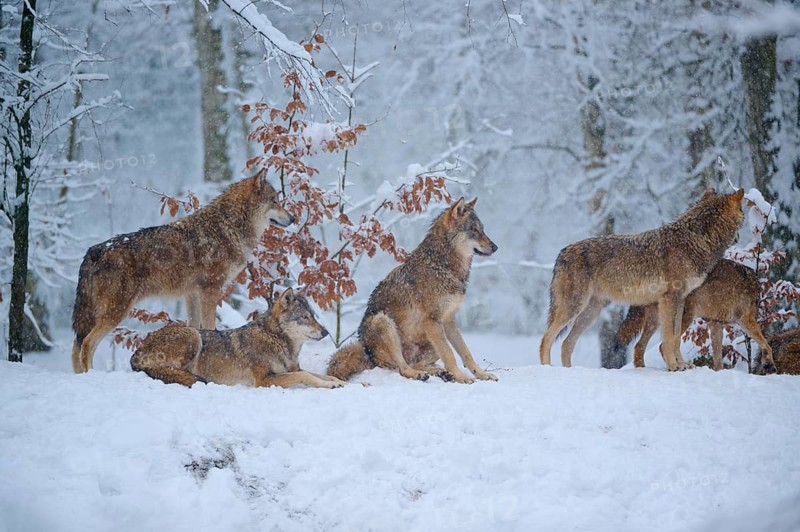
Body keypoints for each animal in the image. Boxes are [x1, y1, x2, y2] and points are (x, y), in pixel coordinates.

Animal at [72, 174, 294, 374]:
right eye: (274, 200)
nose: (293, 218)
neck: (227, 226)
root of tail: (93, 251)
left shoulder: (192, 294)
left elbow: (195, 326)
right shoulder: (210, 289)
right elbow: (210, 325)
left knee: (77, 345)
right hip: (116, 311)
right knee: (87, 344)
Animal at [130, 288, 345, 388]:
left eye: (314, 316)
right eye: (305, 318)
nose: (326, 332)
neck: (276, 340)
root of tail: (137, 352)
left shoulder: (293, 368)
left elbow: (322, 375)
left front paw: (342, 382)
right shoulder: (263, 380)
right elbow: (305, 376)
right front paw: (331, 385)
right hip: (193, 335)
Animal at [327, 198, 498, 384]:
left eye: (482, 229)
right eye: (473, 229)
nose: (495, 247)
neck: (443, 266)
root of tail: (368, 353)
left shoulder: (448, 321)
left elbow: (466, 352)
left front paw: (481, 374)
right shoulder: (432, 320)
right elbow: (450, 354)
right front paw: (461, 377)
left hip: (432, 341)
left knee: (417, 364)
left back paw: (441, 373)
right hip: (384, 321)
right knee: (403, 368)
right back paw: (422, 374)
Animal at [540, 188, 744, 371]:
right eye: (743, 215)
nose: (739, 237)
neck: (695, 240)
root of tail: (563, 252)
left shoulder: (680, 300)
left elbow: (676, 337)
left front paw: (682, 364)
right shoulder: (669, 299)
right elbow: (668, 338)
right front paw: (673, 366)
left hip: (591, 312)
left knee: (566, 344)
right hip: (574, 308)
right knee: (546, 338)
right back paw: (547, 369)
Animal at [614, 259, 775, 372]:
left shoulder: (715, 323)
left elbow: (718, 360)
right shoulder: (746, 319)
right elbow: (766, 343)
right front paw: (770, 364)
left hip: (657, 321)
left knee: (639, 346)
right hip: (685, 317)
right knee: (661, 345)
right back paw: (674, 367)